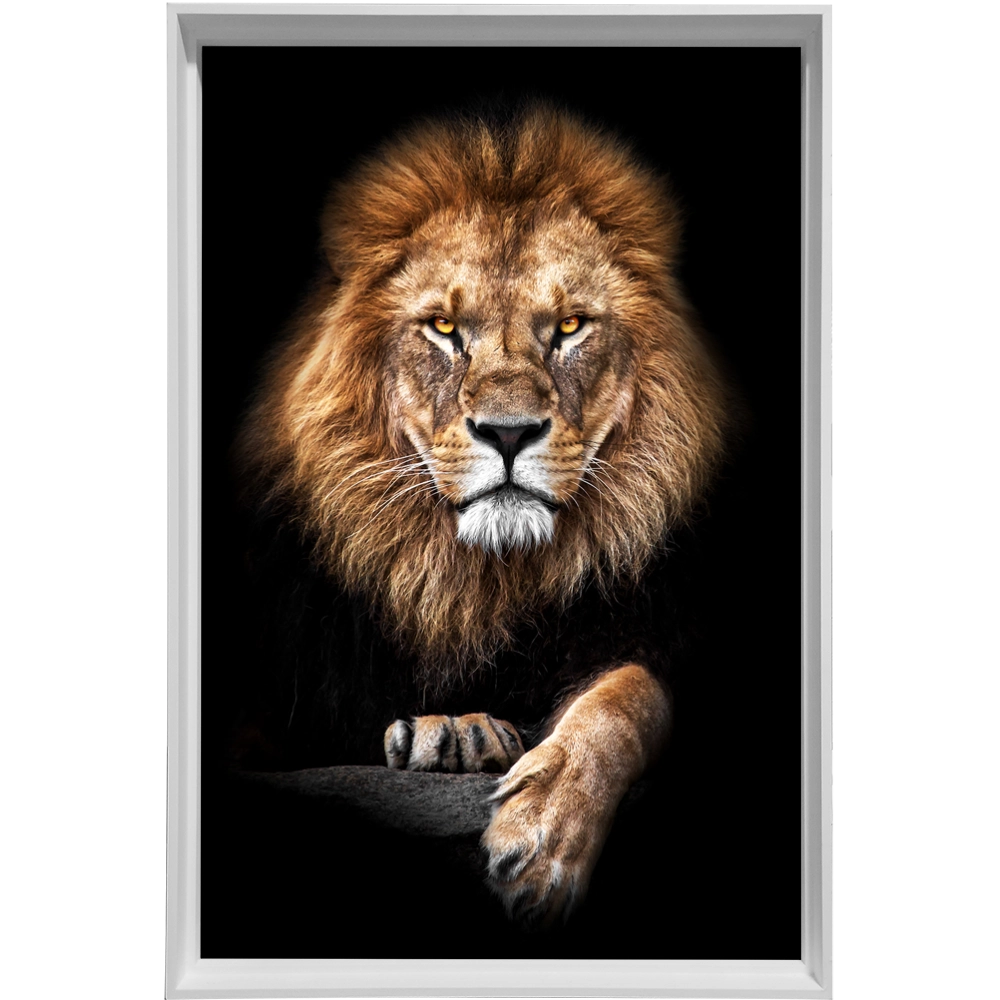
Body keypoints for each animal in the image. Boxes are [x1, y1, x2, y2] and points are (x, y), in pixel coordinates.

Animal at [234, 103, 730, 929]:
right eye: (442, 329)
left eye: (570, 327)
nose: (507, 431)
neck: (477, 581)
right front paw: (453, 734)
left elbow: (630, 696)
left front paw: (545, 836)